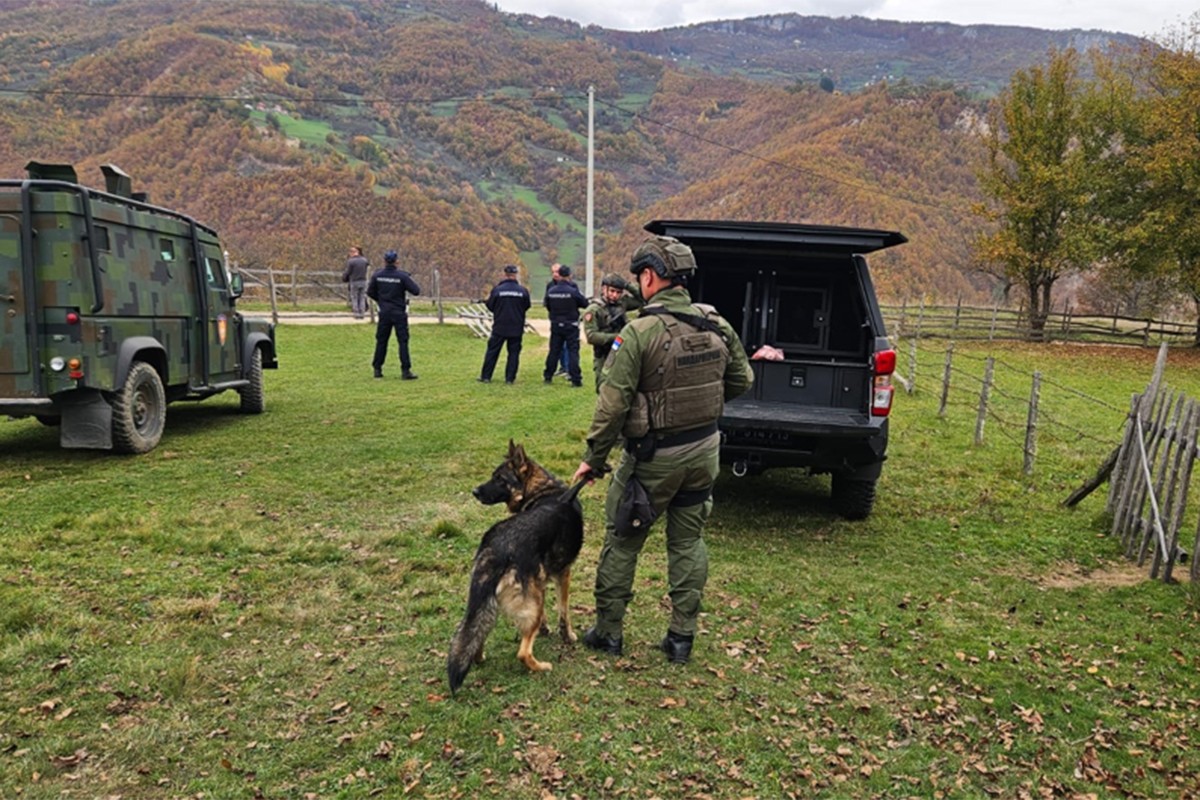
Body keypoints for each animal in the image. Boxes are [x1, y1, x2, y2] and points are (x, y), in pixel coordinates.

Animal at [446, 441, 585, 690]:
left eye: (500, 478)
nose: (474, 492)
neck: (543, 489)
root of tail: (495, 548)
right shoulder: (564, 574)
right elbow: (564, 611)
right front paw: (567, 636)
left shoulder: (543, 582)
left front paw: (546, 629)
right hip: (532, 602)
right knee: (523, 653)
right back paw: (541, 667)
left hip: (488, 603)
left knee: (475, 634)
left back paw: (479, 657)